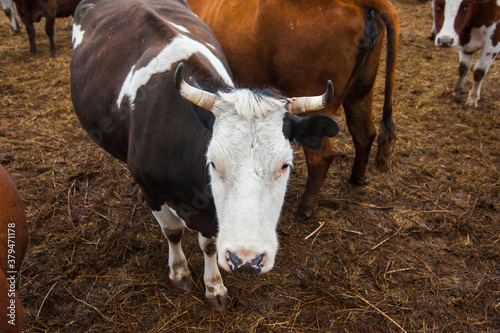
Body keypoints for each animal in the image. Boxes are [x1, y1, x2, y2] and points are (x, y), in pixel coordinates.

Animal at [70, 0, 340, 308]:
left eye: (285, 165)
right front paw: (179, 273)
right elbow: (173, 232)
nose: (246, 260)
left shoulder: (212, 212)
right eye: (213, 163)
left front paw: (214, 286)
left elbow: (209, 243)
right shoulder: (150, 187)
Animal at [188, 0, 402, 219]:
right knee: (364, 134)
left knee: (321, 157)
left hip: (314, 100)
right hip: (361, 91)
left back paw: (304, 208)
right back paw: (357, 178)